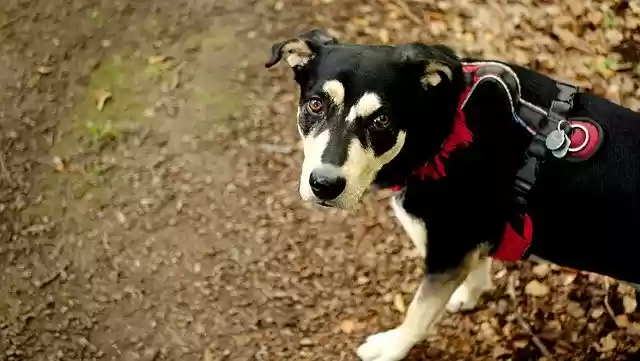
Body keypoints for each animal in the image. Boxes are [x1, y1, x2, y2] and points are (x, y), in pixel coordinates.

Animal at [262, 28, 640, 360]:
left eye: (382, 120)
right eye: (315, 105)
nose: (324, 185)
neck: (444, 130)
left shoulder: (447, 250)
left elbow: (419, 313)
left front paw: (392, 348)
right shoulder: (468, 244)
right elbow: (476, 271)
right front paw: (468, 295)